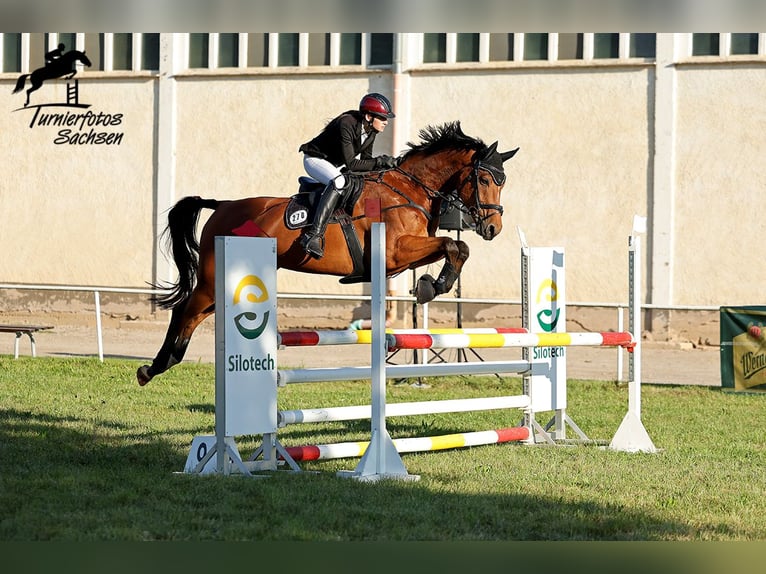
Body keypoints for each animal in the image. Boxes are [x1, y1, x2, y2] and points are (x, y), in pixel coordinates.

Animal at [137, 121, 518, 385]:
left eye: (502, 182)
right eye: (485, 180)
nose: (493, 228)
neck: (409, 189)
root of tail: (223, 206)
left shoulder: (404, 257)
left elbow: (457, 248)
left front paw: (431, 285)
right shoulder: (395, 252)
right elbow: (455, 244)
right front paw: (431, 286)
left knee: (194, 313)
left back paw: (161, 365)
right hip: (214, 278)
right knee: (185, 310)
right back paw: (154, 367)